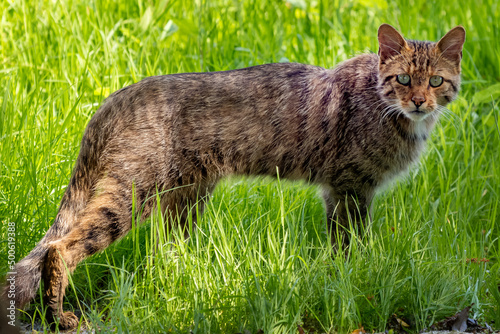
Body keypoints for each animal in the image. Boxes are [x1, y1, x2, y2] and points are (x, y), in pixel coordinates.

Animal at [1, 23, 466, 328]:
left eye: (436, 80)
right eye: (402, 79)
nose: (420, 101)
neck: (392, 112)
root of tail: (117, 97)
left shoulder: (343, 191)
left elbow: (345, 244)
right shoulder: (350, 187)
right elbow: (348, 244)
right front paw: (351, 278)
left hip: (185, 198)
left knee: (163, 252)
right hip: (132, 195)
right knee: (59, 248)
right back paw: (59, 315)